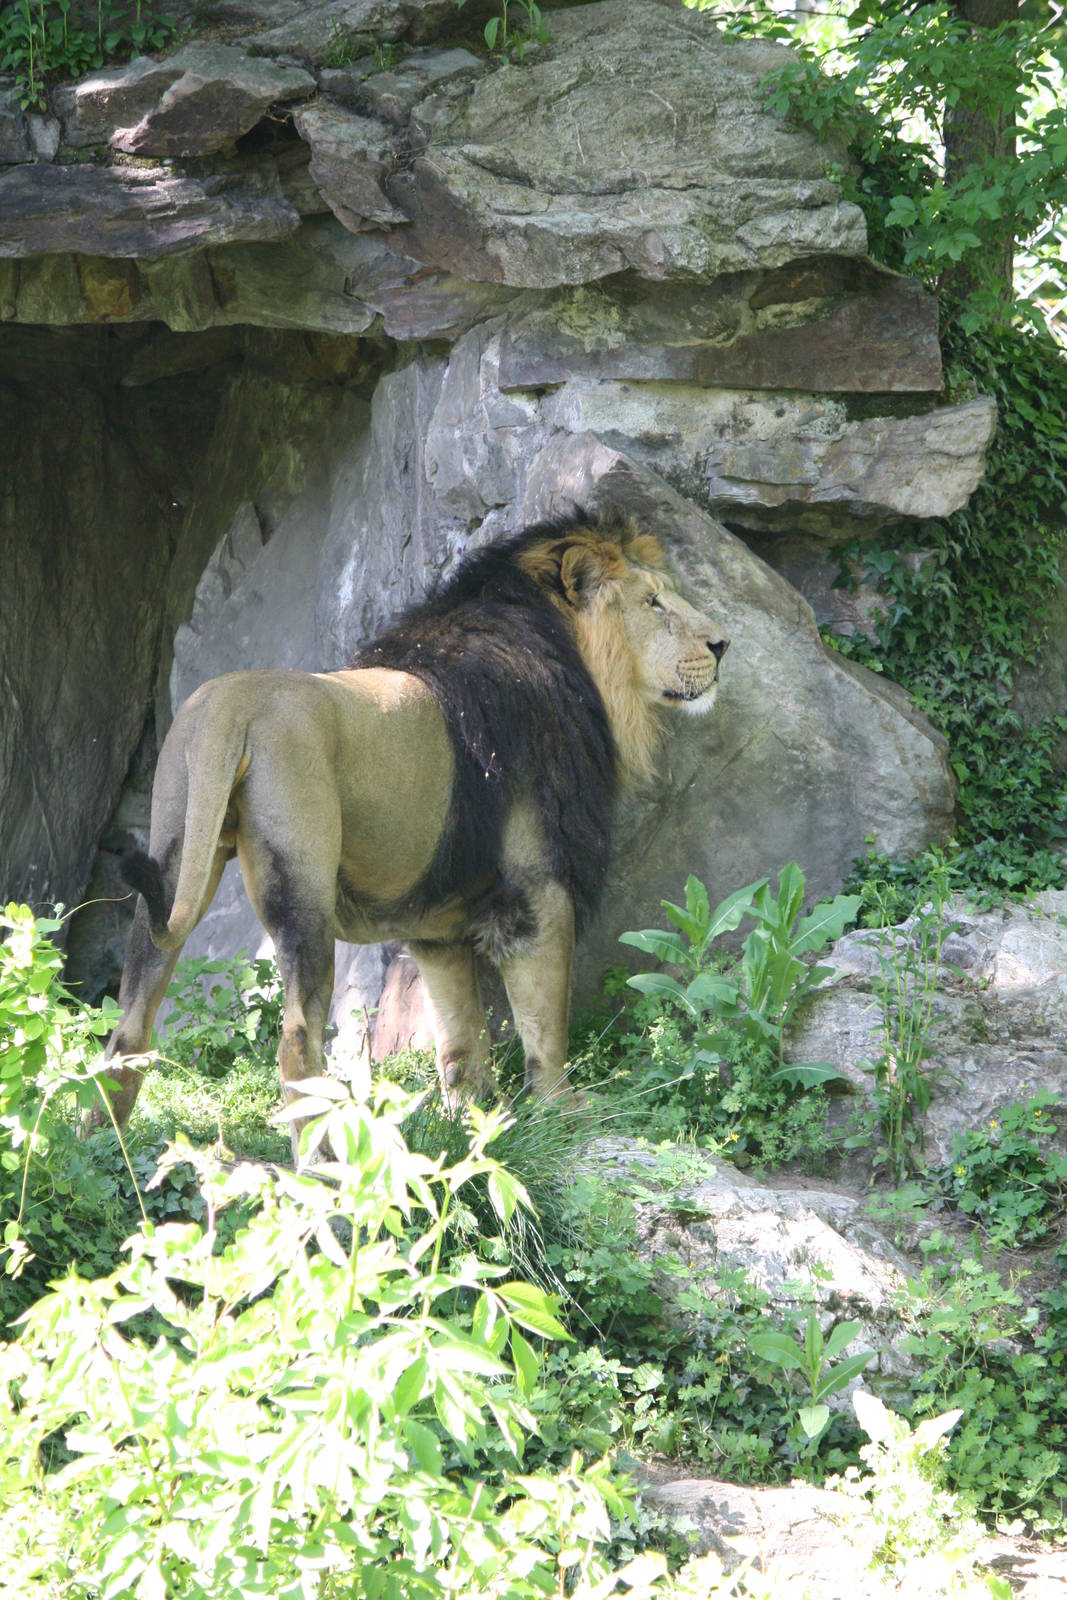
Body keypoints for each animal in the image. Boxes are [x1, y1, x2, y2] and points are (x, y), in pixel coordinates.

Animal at [101, 516, 729, 1152]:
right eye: (653, 602)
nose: (722, 644)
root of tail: (229, 705)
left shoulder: (437, 926)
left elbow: (460, 1039)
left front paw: (474, 1124)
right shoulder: (536, 888)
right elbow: (544, 1021)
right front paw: (564, 1113)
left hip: (174, 857)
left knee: (129, 1026)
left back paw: (101, 1140)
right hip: (302, 891)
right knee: (296, 1040)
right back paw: (319, 1157)